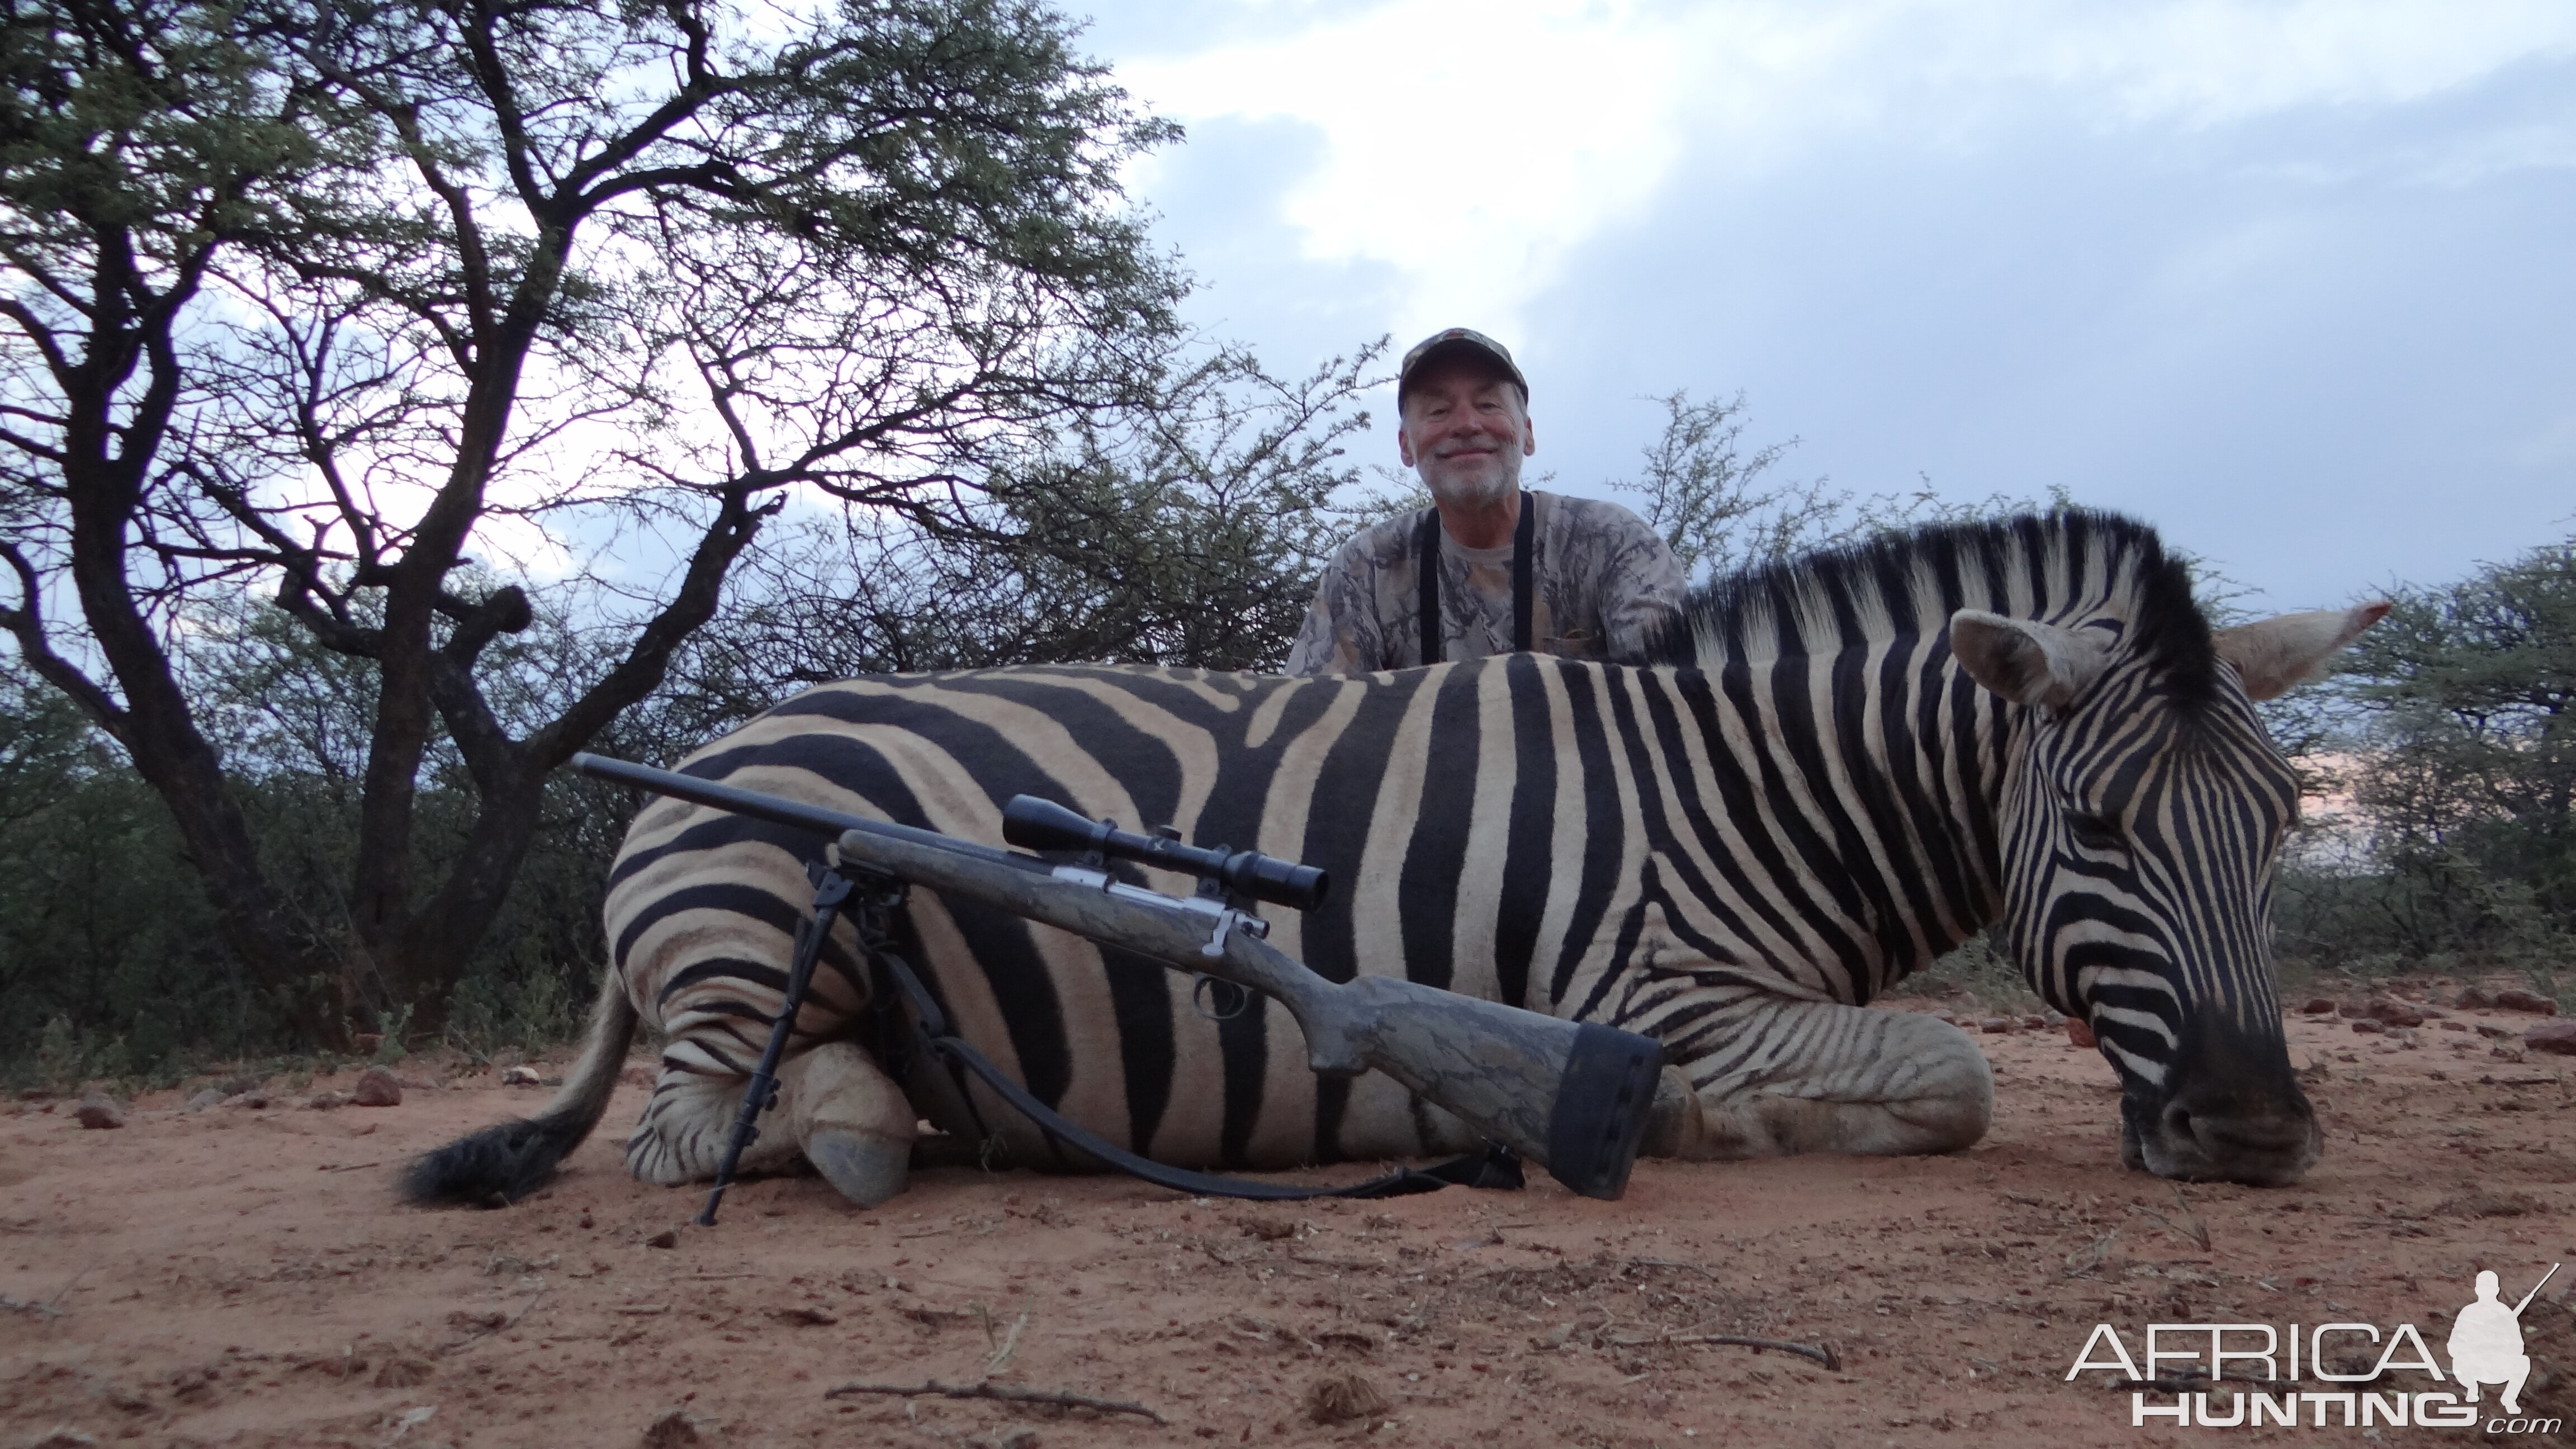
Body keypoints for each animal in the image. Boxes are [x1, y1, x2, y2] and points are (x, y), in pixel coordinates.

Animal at [407, 510, 2390, 1206]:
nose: (2258, 1134)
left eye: (2286, 835)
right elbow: (1955, 1073)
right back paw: (862, 1126)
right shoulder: (1663, 992)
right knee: (697, 1123)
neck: (1753, 788)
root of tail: (688, 768)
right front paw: (1664, 1126)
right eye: (2104, 831)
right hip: (756, 928)